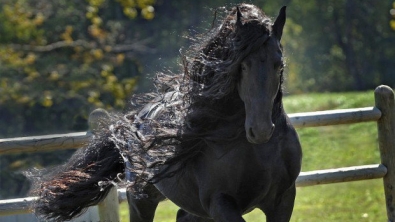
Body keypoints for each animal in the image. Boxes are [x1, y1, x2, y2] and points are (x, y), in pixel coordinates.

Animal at [31, 3, 304, 222]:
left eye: (278, 64)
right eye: (243, 65)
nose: (260, 130)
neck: (258, 152)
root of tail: (134, 120)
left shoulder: (283, 200)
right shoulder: (220, 203)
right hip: (142, 199)